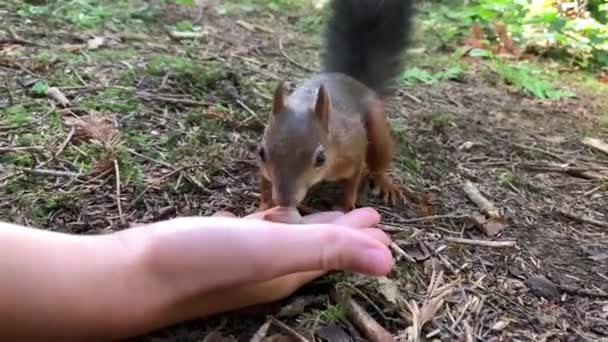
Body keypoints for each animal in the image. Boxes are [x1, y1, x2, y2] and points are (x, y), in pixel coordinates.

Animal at [254, 0, 416, 214]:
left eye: (321, 158)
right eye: (261, 152)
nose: (284, 200)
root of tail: (352, 79)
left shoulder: (353, 152)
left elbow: (353, 181)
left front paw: (346, 205)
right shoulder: (264, 167)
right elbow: (265, 182)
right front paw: (263, 206)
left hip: (378, 128)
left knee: (378, 163)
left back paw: (385, 183)